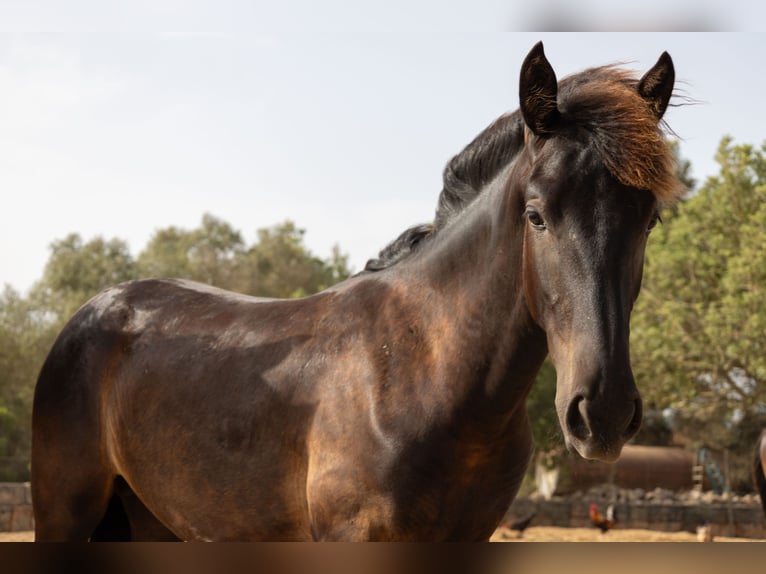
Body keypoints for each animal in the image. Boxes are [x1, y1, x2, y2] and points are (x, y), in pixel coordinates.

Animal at [31, 42, 682, 541]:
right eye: (536, 215)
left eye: (649, 220)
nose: (602, 413)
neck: (425, 370)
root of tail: (93, 314)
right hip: (65, 514)